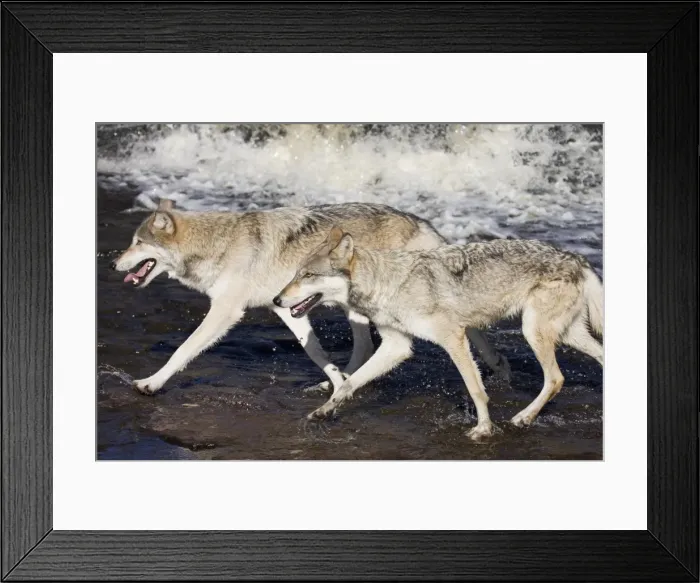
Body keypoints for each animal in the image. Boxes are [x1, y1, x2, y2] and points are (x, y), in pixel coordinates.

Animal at [111, 200, 511, 395]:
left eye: (137, 242)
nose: (114, 263)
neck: (218, 243)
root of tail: (421, 221)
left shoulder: (226, 311)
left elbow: (183, 349)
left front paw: (150, 384)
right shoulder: (287, 308)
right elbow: (315, 352)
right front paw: (335, 380)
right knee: (369, 347)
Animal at [274, 227, 603, 439]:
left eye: (307, 275)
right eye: (294, 274)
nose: (277, 300)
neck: (387, 283)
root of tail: (577, 258)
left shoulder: (453, 338)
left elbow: (476, 389)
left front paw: (484, 429)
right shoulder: (397, 346)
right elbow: (347, 383)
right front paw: (323, 411)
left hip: (533, 332)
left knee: (556, 378)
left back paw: (523, 418)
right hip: (566, 335)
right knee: (597, 357)